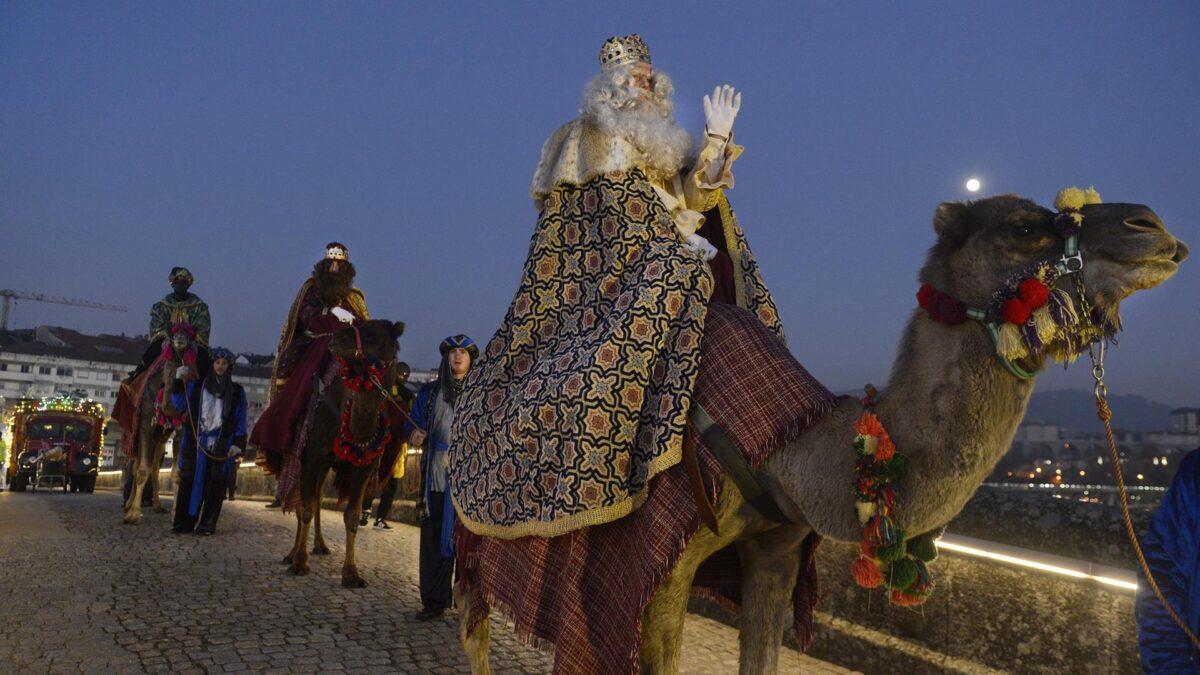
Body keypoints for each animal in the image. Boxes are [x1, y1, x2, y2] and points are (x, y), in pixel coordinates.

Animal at [283, 317, 405, 586]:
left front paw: (351, 573)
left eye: (374, 335)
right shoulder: (312, 456)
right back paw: (292, 554)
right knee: (301, 499)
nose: (337, 338)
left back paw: (320, 545)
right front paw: (299, 563)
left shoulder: (365, 465)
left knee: (317, 496)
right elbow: (304, 508)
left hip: (328, 465)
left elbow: (352, 515)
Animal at [458, 192, 1190, 667]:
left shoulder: (776, 550)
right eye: (1021, 225)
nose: (1151, 225)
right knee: (475, 626)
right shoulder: (661, 563)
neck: (788, 442)